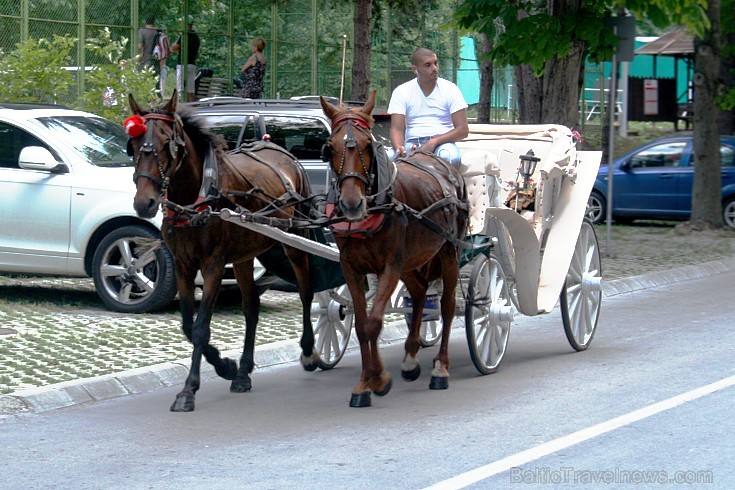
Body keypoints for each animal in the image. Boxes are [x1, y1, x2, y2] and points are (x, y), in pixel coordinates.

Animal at [129, 90, 320, 412]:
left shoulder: (214, 266)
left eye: (167, 142)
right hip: (244, 257)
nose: (145, 202)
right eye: (133, 142)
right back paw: (243, 372)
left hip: (296, 239)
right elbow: (187, 324)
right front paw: (226, 366)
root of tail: (282, 152)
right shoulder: (182, 265)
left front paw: (189, 389)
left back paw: (309, 351)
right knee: (251, 308)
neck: (197, 197)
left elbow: (200, 327)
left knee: (306, 292)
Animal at [320, 91, 468, 406]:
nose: (351, 203)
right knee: (420, 294)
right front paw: (364, 384)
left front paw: (379, 379)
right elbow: (361, 325)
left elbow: (374, 323)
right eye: (330, 147)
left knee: (448, 306)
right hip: (412, 260)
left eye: (367, 145)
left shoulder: (390, 265)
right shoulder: (351, 267)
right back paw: (410, 359)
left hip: (448, 252)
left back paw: (440, 368)